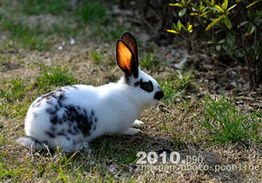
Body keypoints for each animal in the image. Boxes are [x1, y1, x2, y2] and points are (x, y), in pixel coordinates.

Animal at [16, 32, 164, 152]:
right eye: (147, 86)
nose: (161, 95)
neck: (128, 96)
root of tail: (32, 132)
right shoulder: (120, 126)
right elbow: (124, 130)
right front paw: (135, 131)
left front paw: (139, 123)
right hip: (65, 138)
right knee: (63, 149)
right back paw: (82, 146)